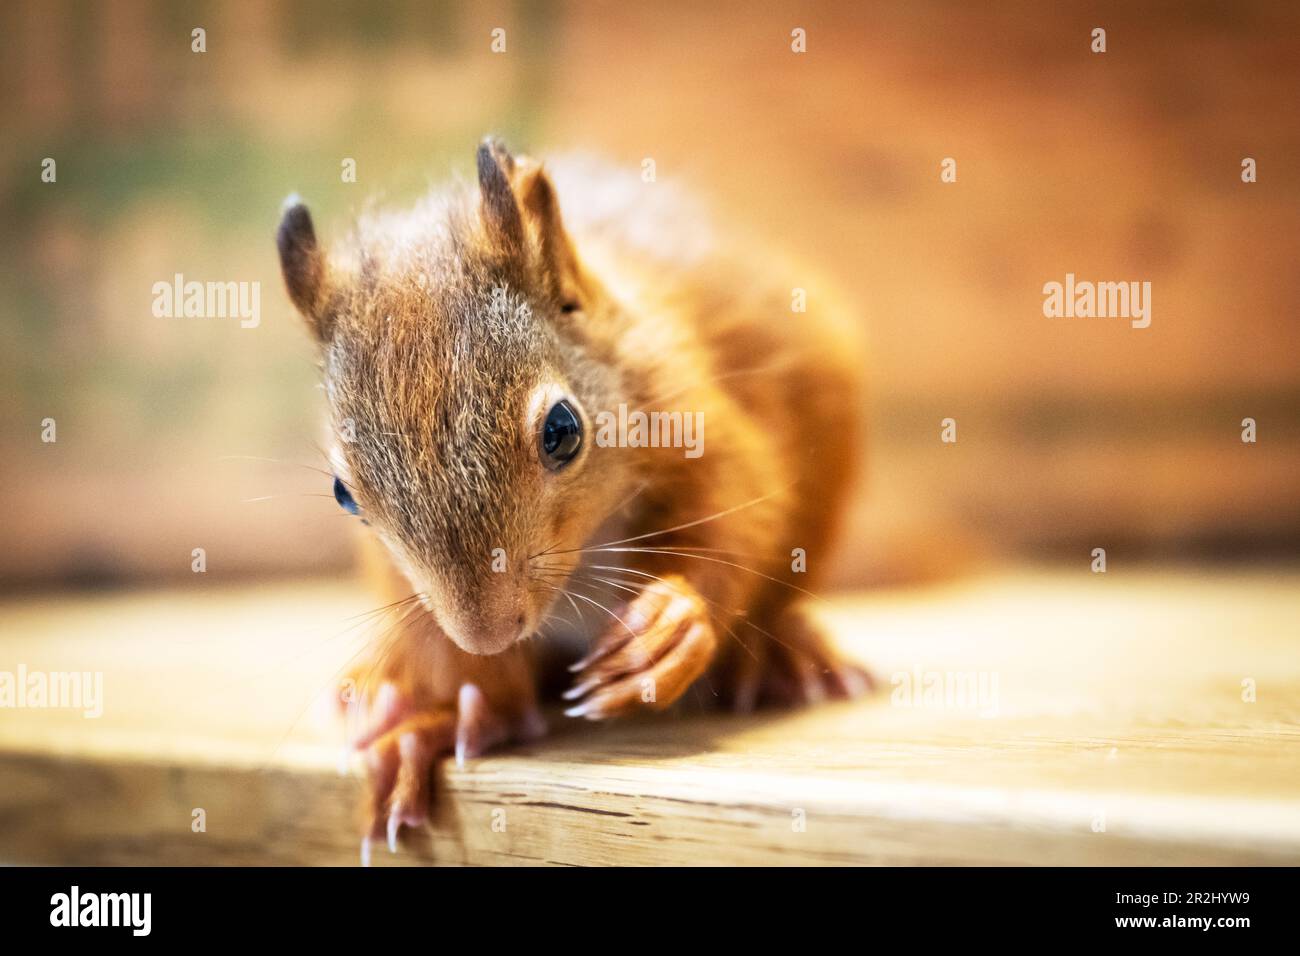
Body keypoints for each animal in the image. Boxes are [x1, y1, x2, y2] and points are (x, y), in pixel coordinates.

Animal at [277, 138, 871, 857]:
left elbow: (743, 515)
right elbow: (451, 661)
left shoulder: (694, 417)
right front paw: (433, 725)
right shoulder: (410, 590)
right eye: (344, 494)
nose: (489, 633)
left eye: (562, 430)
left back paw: (785, 657)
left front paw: (670, 626)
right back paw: (372, 692)